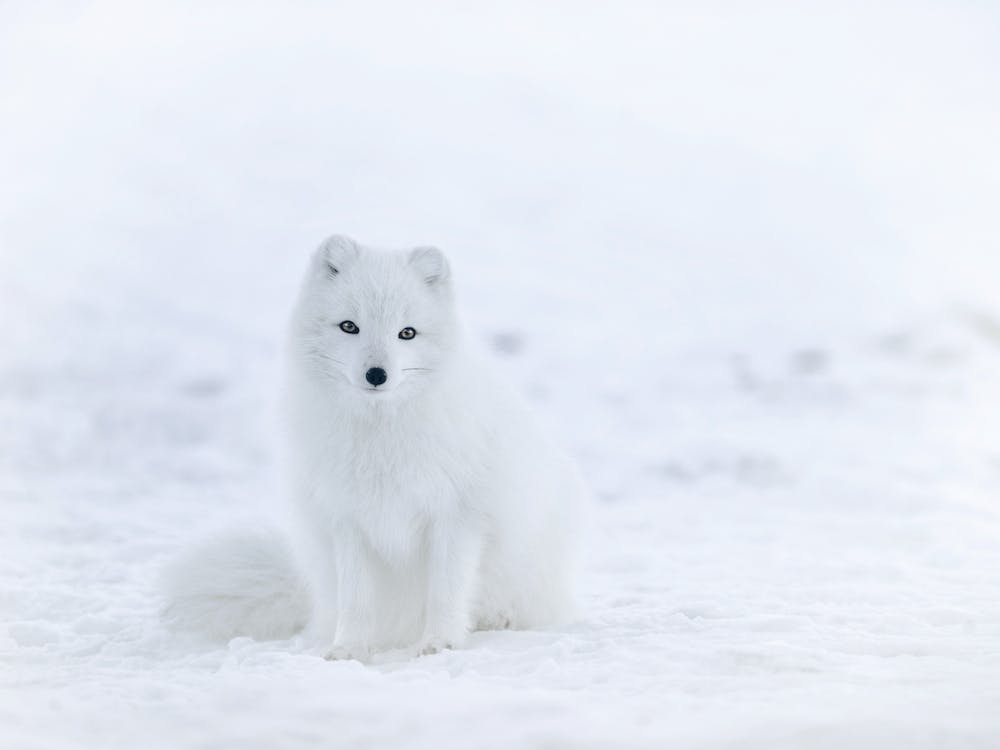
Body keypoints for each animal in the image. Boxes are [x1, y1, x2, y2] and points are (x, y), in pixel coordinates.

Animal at [162, 235, 588, 660]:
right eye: (349, 326)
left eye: (407, 333)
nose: (376, 374)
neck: (380, 436)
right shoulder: (348, 520)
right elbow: (356, 600)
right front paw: (349, 649)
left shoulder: (456, 516)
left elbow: (446, 592)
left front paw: (439, 643)